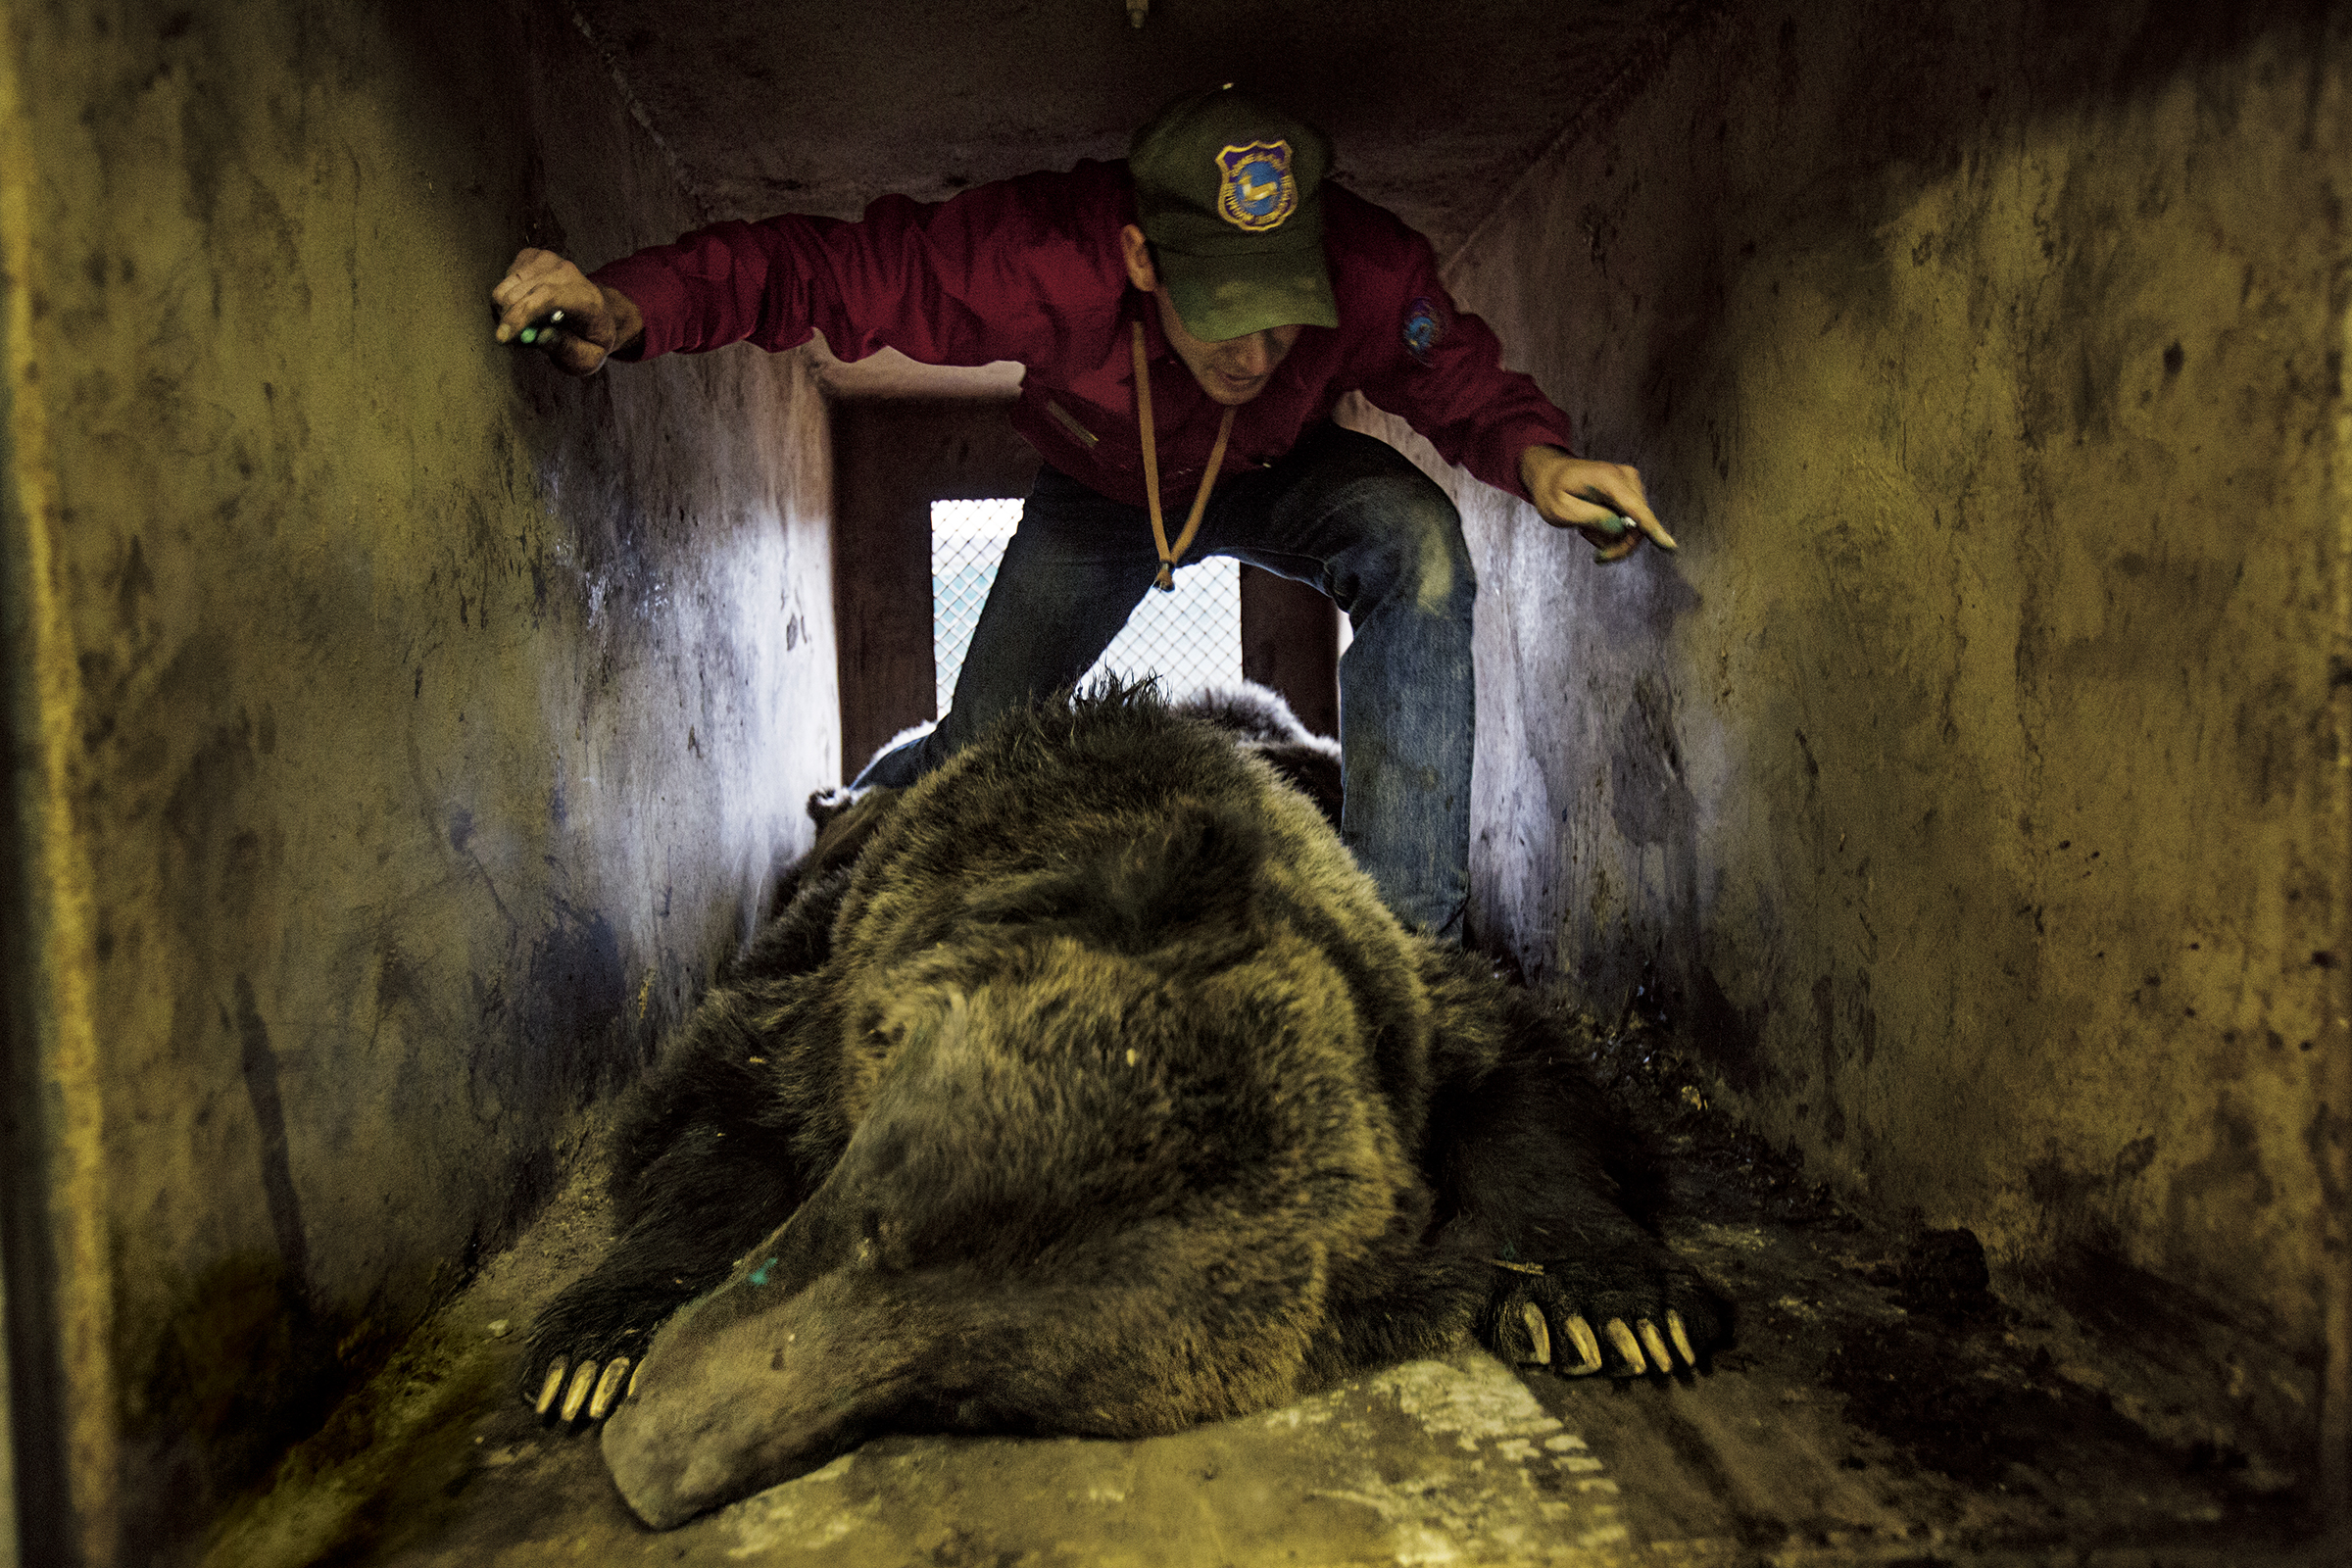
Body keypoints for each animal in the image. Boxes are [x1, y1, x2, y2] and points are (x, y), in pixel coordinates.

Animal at [521, 681, 1728, 1529]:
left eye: (968, 1393)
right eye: (873, 1214)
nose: (648, 1461)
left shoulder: (1421, 1018)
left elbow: (1531, 1080)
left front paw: (1611, 1310)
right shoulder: (815, 1005)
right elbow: (710, 1110)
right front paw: (595, 1352)